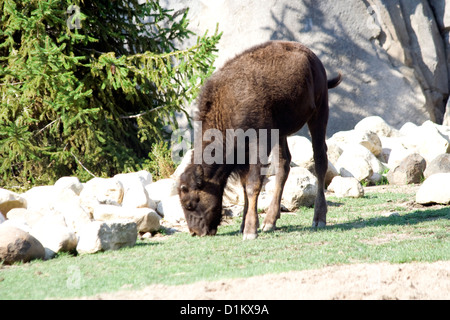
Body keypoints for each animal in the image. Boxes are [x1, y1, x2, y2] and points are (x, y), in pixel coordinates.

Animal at [178, 40, 340, 239]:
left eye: (190, 203)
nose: (195, 232)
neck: (227, 106)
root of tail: (313, 58)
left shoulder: (259, 144)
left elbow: (252, 185)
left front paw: (249, 231)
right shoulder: (245, 154)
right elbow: (244, 186)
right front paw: (244, 226)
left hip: (319, 113)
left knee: (320, 160)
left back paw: (318, 219)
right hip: (281, 132)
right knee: (284, 164)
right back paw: (270, 221)